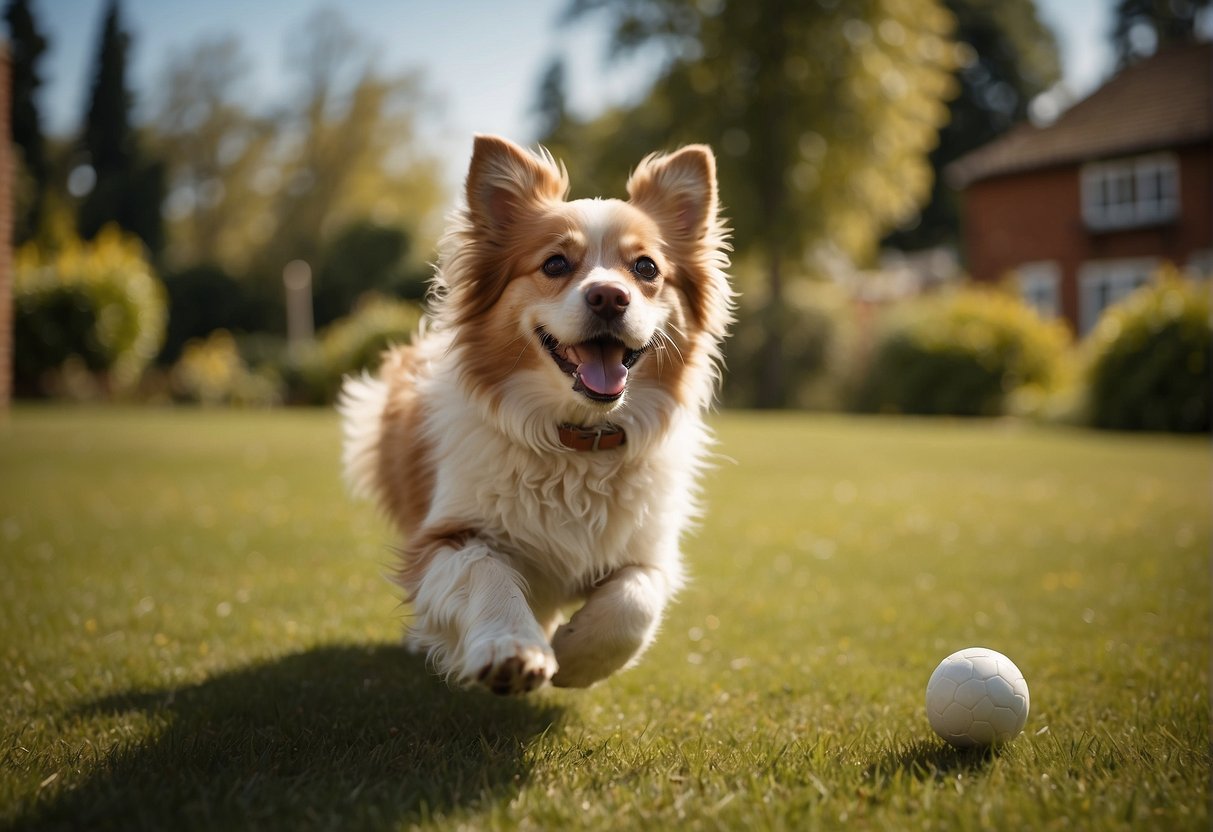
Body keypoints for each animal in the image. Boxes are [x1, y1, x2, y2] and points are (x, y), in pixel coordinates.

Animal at [339, 135, 727, 698]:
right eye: (555, 264)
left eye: (647, 269)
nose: (609, 296)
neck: (577, 440)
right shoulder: (446, 536)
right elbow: (488, 572)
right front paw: (513, 649)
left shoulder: (650, 551)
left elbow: (633, 603)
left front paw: (576, 656)